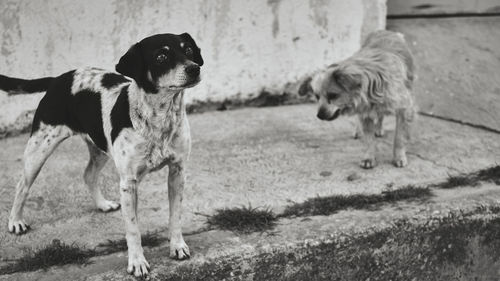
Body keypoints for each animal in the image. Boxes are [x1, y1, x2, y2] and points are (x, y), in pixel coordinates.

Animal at [0, 32, 203, 276]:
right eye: (161, 57)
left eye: (188, 50)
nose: (194, 69)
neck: (159, 119)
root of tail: (58, 79)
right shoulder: (128, 183)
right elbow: (133, 228)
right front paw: (137, 262)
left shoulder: (177, 172)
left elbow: (175, 216)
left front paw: (177, 246)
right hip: (39, 148)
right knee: (22, 186)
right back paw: (15, 222)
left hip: (100, 148)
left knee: (88, 174)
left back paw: (102, 204)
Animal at [298, 29, 416, 167]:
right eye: (317, 96)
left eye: (333, 95)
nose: (319, 116)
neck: (373, 86)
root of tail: (384, 31)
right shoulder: (365, 112)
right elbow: (369, 139)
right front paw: (369, 157)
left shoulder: (405, 109)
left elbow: (399, 137)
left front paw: (399, 157)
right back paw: (360, 130)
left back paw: (378, 128)